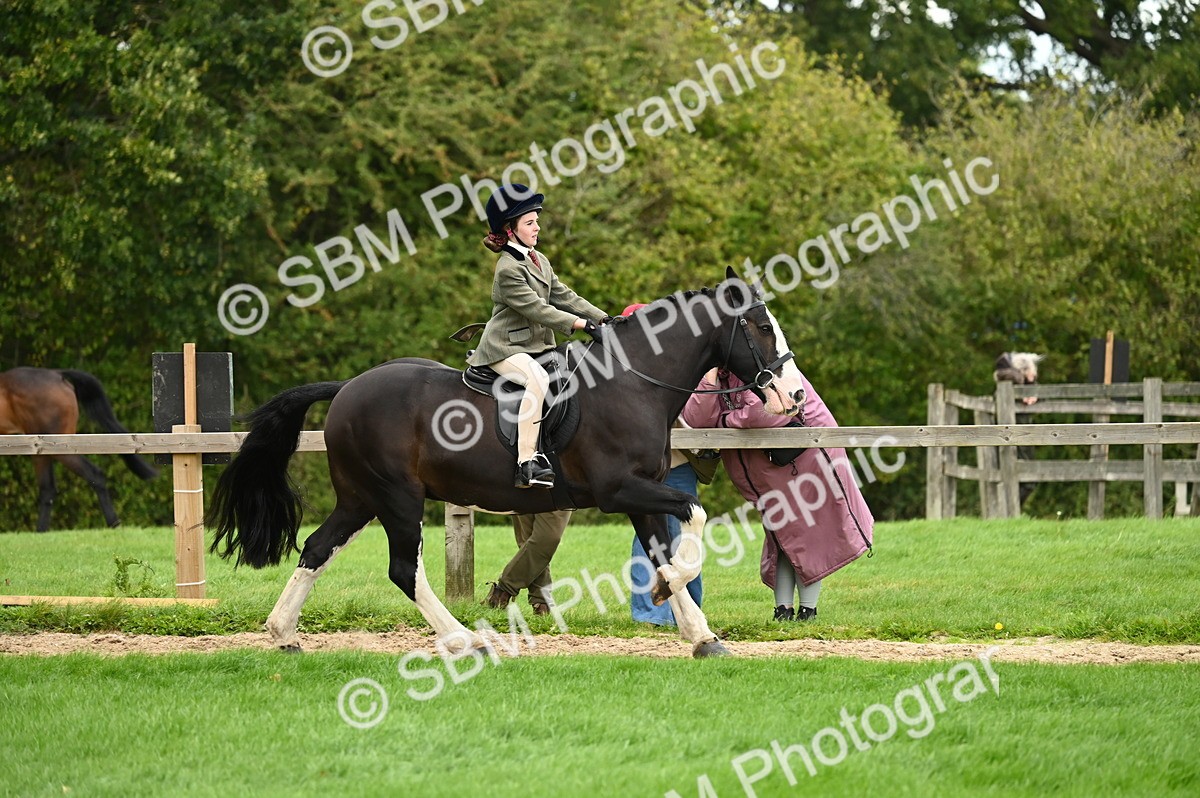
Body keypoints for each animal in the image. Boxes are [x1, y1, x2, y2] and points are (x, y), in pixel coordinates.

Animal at [0, 367, 158, 531]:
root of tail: (57, 375)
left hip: (58, 446)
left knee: (93, 475)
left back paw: (114, 523)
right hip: (41, 449)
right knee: (47, 489)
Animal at [208, 269, 807, 657]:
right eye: (760, 326)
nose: (794, 395)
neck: (633, 381)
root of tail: (349, 388)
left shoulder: (643, 492)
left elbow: (667, 550)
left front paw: (700, 635)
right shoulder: (621, 490)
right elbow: (695, 518)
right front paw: (672, 599)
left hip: (361, 499)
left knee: (316, 549)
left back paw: (283, 634)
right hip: (397, 497)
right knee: (403, 568)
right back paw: (464, 639)